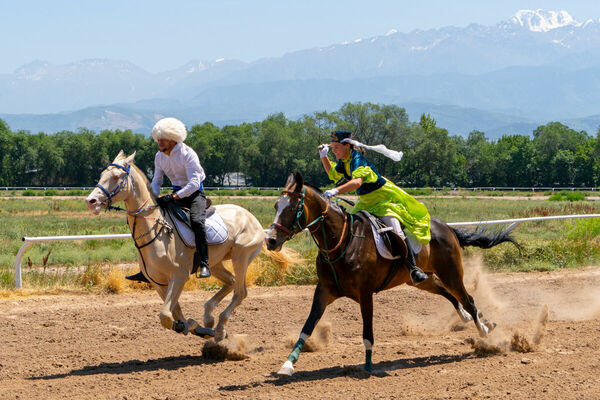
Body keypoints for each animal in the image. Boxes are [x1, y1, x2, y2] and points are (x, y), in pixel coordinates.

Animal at [84, 152, 264, 342]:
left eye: (116, 177)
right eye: (102, 174)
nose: (90, 201)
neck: (156, 230)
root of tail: (251, 217)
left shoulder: (178, 276)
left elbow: (165, 315)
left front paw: (192, 326)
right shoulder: (158, 283)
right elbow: (173, 313)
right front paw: (195, 327)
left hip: (241, 258)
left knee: (240, 292)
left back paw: (220, 328)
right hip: (215, 263)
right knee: (231, 282)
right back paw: (209, 318)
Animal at [264, 173, 516, 376]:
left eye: (291, 208)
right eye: (276, 205)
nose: (271, 241)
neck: (342, 242)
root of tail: (447, 227)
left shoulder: (365, 294)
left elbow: (367, 333)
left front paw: (367, 367)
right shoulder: (324, 291)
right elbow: (307, 327)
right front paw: (287, 365)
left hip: (451, 273)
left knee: (468, 299)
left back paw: (483, 330)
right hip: (421, 280)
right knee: (449, 294)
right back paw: (469, 318)